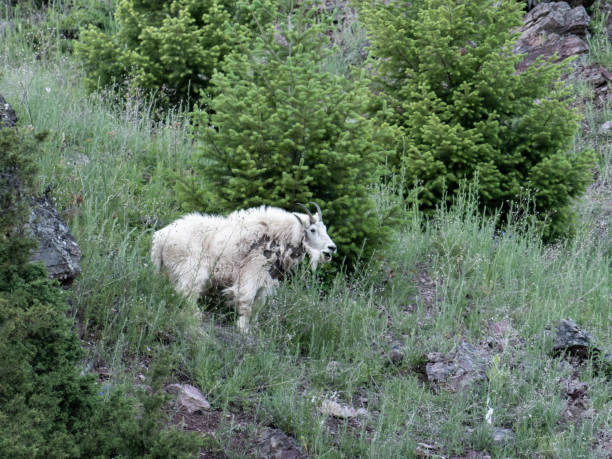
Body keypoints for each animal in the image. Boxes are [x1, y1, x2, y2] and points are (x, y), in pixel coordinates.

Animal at [151, 203, 338, 332]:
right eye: (312, 230)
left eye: (325, 228)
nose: (332, 248)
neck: (279, 239)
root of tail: (160, 239)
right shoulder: (252, 272)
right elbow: (247, 301)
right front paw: (243, 329)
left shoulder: (265, 281)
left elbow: (258, 304)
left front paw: (253, 327)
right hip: (192, 269)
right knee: (186, 292)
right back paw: (196, 317)